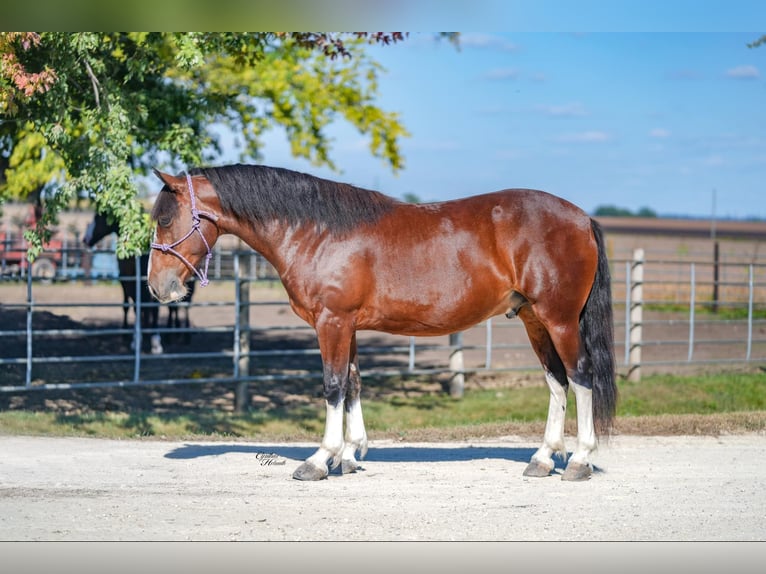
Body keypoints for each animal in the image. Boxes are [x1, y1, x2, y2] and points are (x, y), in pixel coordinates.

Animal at [84, 212, 195, 353]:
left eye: (97, 218)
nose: (85, 239)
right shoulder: (128, 284)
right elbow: (133, 307)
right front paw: (137, 339)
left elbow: (153, 310)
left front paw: (155, 342)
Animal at [147, 164, 617, 482]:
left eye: (165, 219)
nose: (157, 287)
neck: (317, 232)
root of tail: (581, 218)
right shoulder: (347, 325)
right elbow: (353, 384)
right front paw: (351, 456)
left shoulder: (332, 322)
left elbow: (332, 385)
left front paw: (320, 459)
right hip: (534, 320)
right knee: (556, 381)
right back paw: (542, 458)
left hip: (559, 319)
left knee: (580, 376)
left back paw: (578, 460)